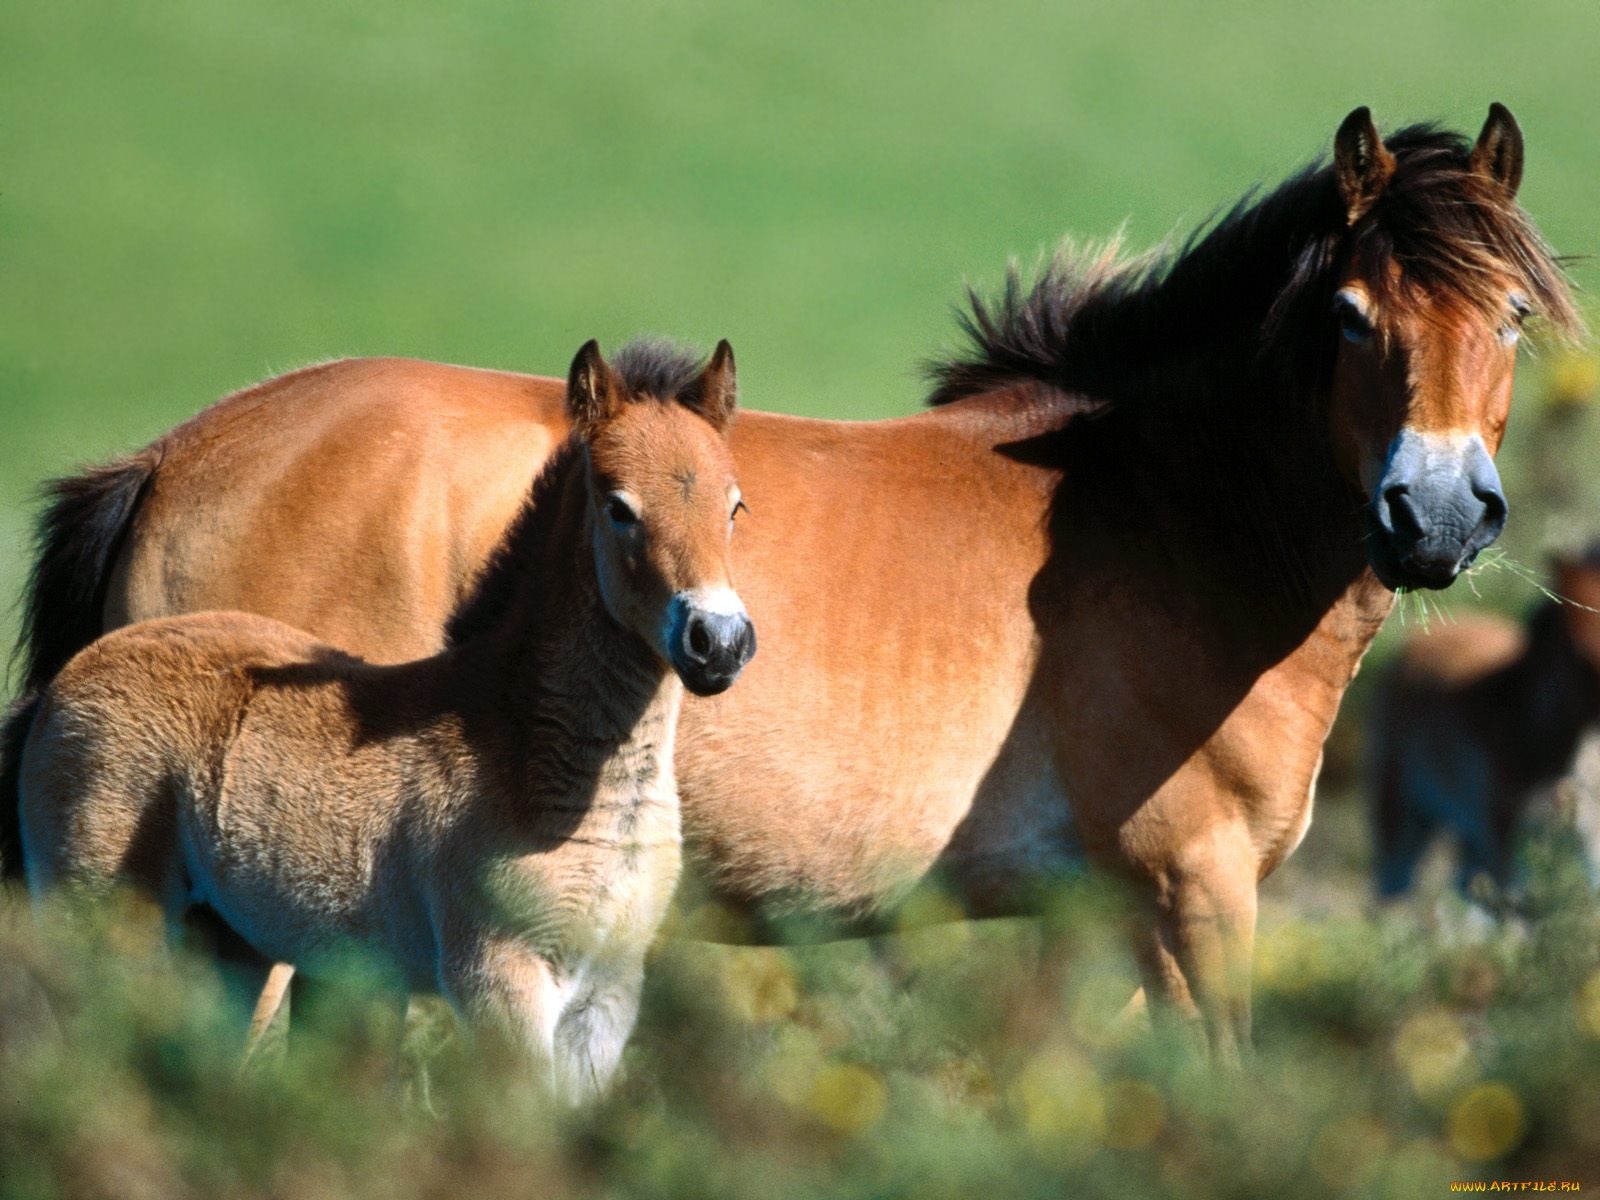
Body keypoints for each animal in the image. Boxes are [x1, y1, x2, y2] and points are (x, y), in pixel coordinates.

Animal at [18, 340, 752, 1107]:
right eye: (619, 507)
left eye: (734, 505)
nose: (718, 641)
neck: (521, 742)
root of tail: (65, 681)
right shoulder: (498, 979)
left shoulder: (606, 995)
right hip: (100, 923)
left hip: (226, 944)